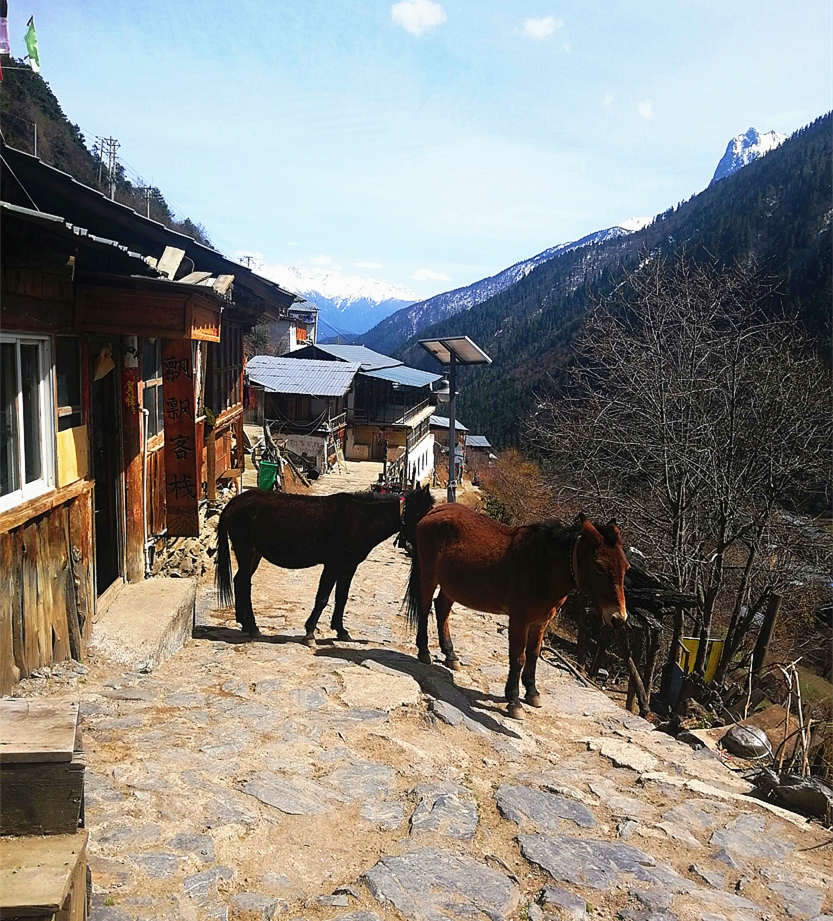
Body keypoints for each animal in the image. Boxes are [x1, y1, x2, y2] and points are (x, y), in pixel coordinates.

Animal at [214, 488, 432, 640]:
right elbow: (323, 597)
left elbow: (341, 598)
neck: (360, 519)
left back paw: (243, 622)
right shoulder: (333, 565)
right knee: (244, 583)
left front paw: (340, 630)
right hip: (245, 549)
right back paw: (252, 626)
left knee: (239, 581)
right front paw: (310, 631)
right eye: (424, 514)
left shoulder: (348, 567)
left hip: (254, 554)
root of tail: (233, 503)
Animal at [404, 504, 632, 720]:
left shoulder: (541, 621)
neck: (543, 567)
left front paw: (532, 692)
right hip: (428, 576)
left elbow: (533, 654)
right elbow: (518, 658)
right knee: (425, 609)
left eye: (626, 568)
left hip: (451, 586)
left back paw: (450, 655)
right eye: (599, 566)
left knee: (442, 609)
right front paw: (514, 701)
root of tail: (436, 510)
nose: (618, 618)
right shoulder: (519, 620)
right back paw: (424, 651)